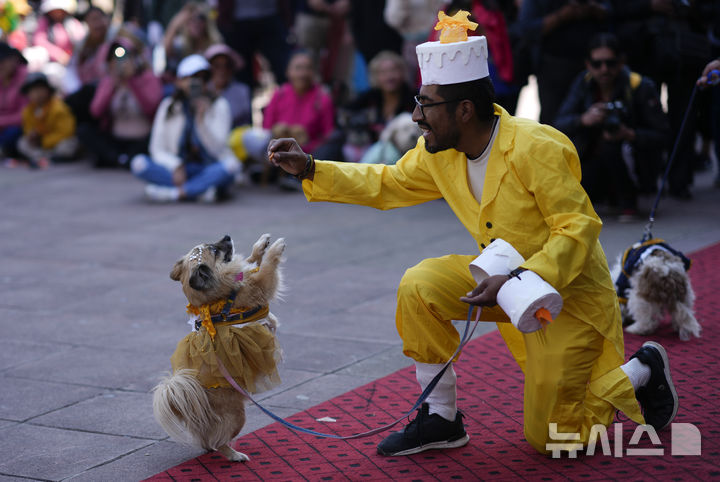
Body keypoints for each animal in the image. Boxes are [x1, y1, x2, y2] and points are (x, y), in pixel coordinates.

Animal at [153, 234, 286, 464]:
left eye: (211, 244)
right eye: (214, 250)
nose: (227, 236)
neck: (219, 299)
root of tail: (187, 403)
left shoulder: (246, 274)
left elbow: (252, 261)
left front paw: (262, 244)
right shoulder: (260, 285)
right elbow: (268, 267)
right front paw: (275, 248)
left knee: (207, 441)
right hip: (236, 417)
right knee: (219, 440)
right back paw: (234, 455)